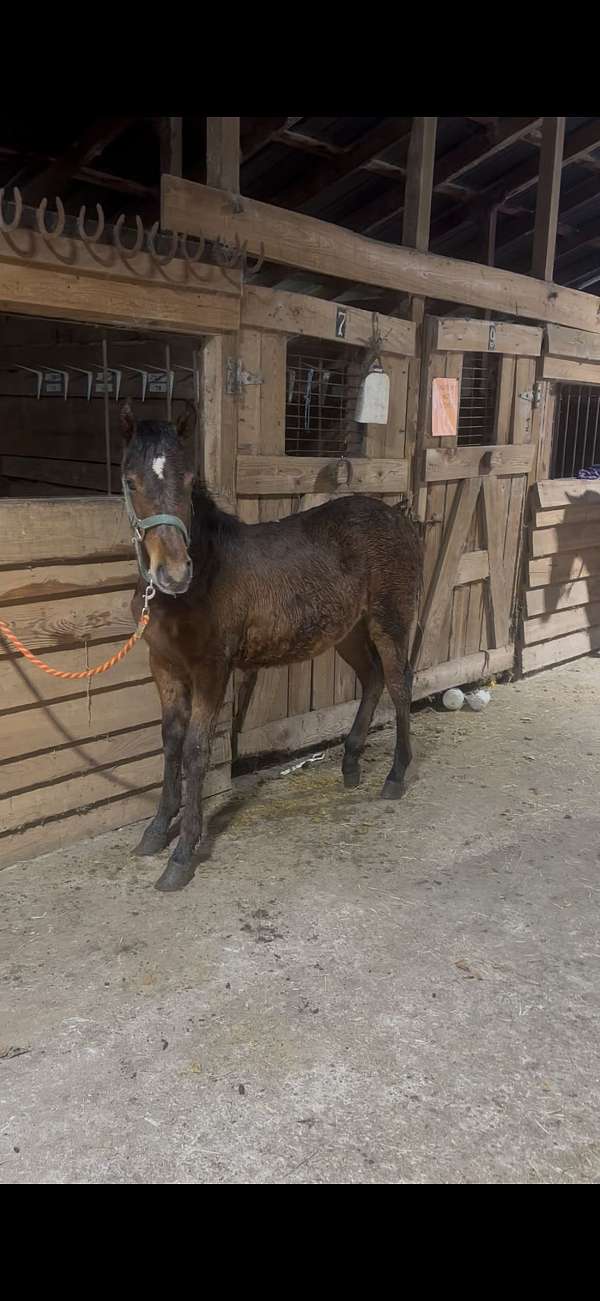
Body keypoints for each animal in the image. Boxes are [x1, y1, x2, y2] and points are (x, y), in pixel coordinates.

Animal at [121, 402, 423, 892]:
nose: (174, 573)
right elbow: (170, 741)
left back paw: (396, 776)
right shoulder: (162, 664)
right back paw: (350, 765)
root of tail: (401, 518)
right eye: (131, 481)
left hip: (390, 621)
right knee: (372, 678)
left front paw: (182, 854)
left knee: (399, 684)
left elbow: (195, 751)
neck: (200, 578)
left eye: (188, 480)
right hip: (347, 631)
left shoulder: (212, 668)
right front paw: (156, 831)